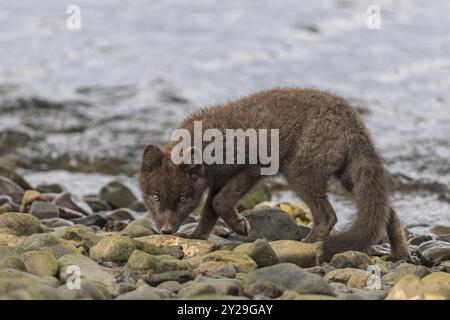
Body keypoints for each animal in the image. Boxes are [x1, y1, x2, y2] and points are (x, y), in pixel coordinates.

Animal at [140, 87, 412, 260]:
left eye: (182, 199)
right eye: (154, 197)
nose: (166, 230)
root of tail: (355, 125)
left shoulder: (253, 167)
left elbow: (219, 203)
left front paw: (241, 226)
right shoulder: (216, 181)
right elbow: (209, 211)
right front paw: (196, 237)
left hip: (299, 172)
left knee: (328, 216)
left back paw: (308, 246)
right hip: (348, 176)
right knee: (387, 211)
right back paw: (401, 254)